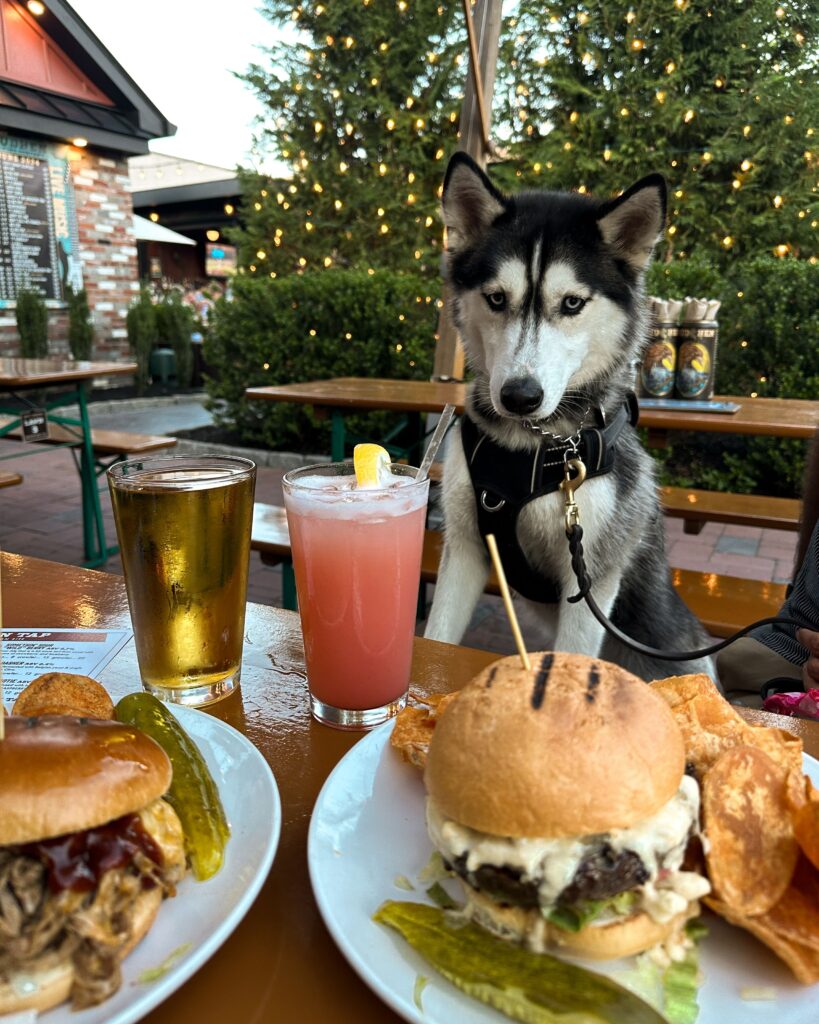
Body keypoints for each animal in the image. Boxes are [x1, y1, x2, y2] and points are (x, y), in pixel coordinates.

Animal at [425, 153, 712, 679]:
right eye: (496, 298)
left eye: (573, 302)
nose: (520, 396)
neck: (532, 447)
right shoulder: (467, 549)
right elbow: (435, 638)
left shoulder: (591, 579)